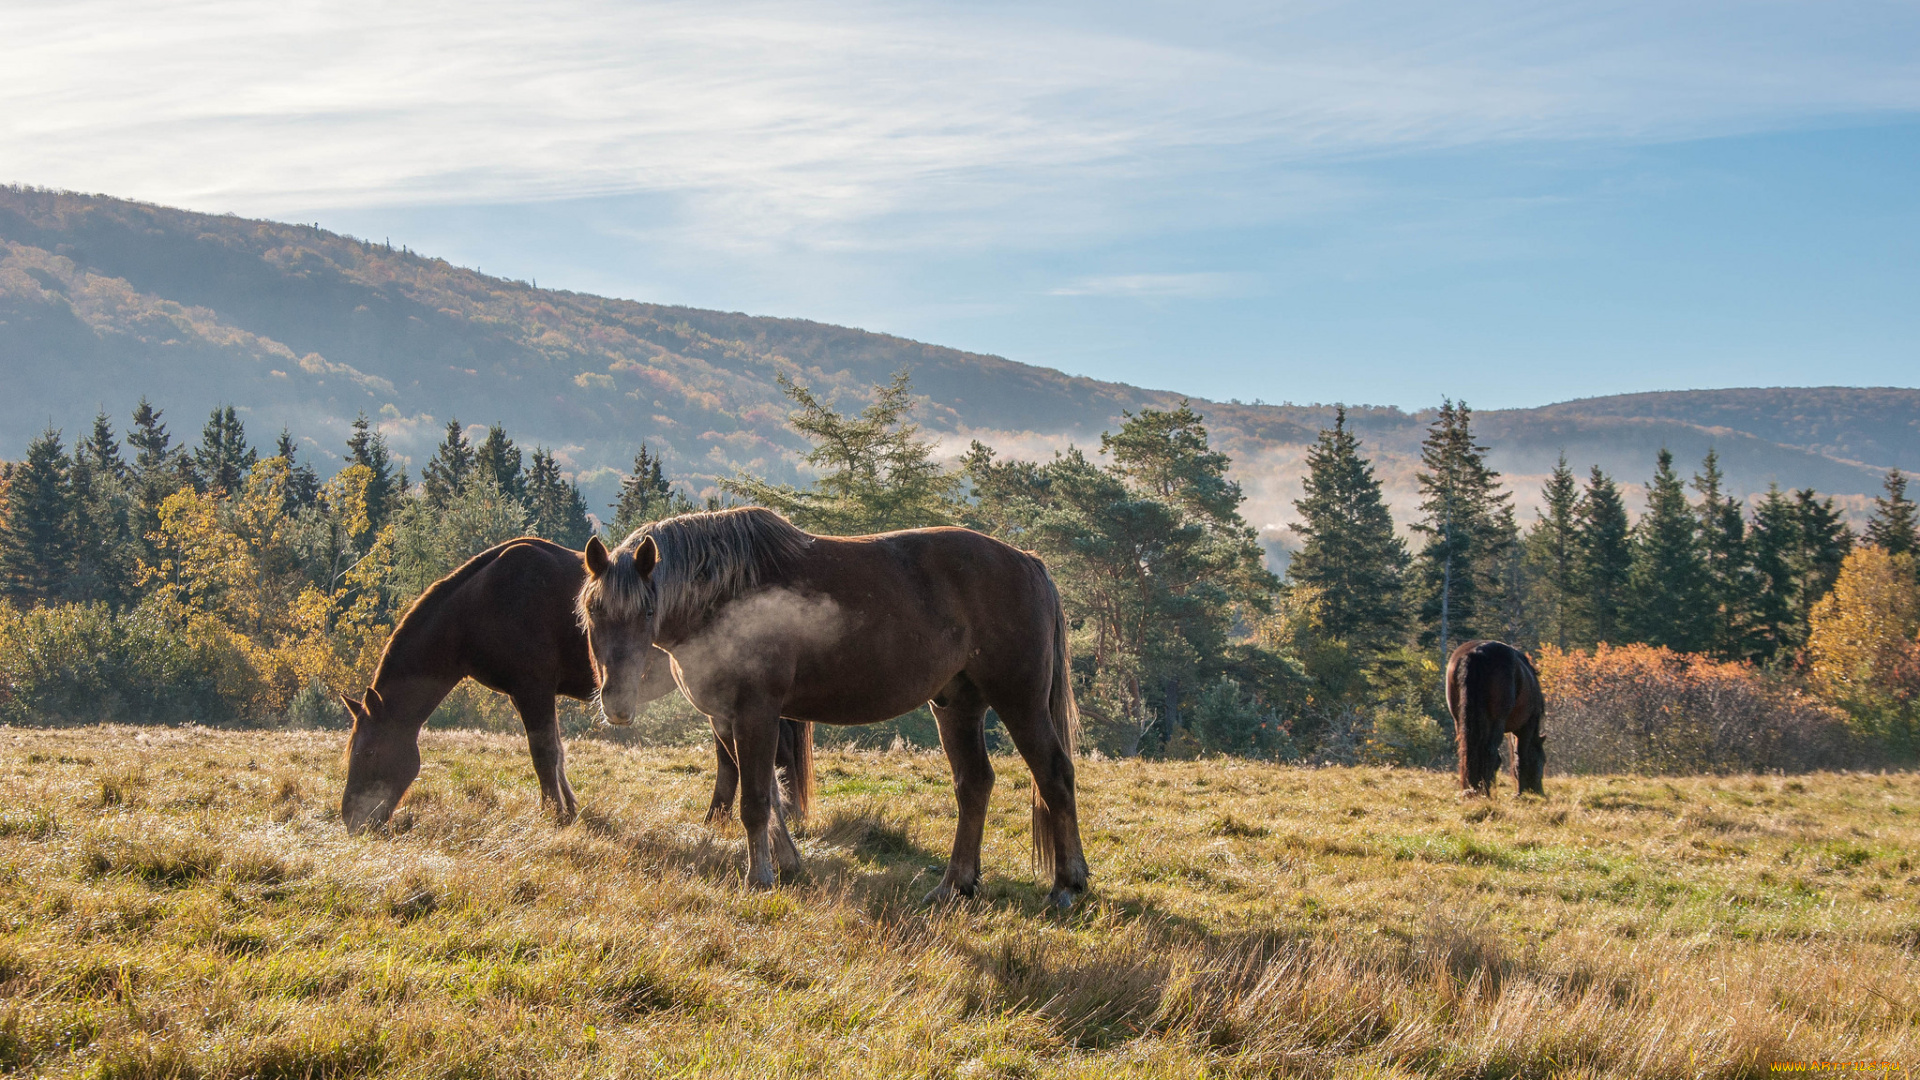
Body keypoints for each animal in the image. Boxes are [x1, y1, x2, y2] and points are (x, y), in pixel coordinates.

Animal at [341, 534, 814, 834]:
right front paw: (570, 809)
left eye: (369, 753)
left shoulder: (531, 689)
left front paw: (554, 814)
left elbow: (544, 754)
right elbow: (557, 752)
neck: (481, 606)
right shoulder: (534, 694)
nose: (350, 821)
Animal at [568, 507, 1090, 903]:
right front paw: (787, 863)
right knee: (975, 784)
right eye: (593, 611)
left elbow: (755, 801)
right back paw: (954, 885)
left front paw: (759, 877)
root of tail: (1028, 562)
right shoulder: (726, 719)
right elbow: (771, 796)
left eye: (647, 611)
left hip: (1019, 700)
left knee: (1054, 775)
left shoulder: (756, 712)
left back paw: (1066, 885)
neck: (725, 592)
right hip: (957, 705)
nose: (616, 705)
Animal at [1443, 634, 1551, 795]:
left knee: (1468, 751)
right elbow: (1522, 757)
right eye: (1543, 760)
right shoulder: (1527, 726)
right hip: (1497, 721)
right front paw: (1520, 793)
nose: (1539, 792)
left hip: (1460, 720)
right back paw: (1486, 792)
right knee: (1490, 752)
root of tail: (1476, 652)